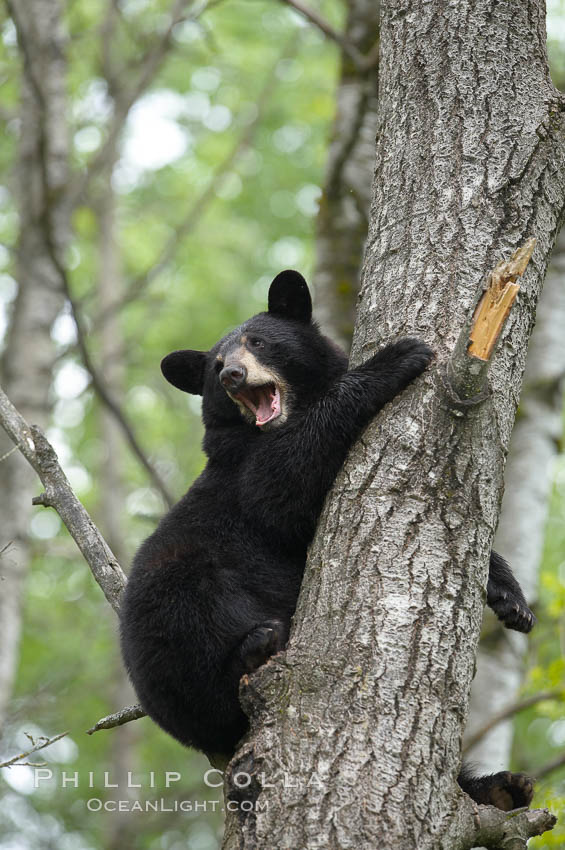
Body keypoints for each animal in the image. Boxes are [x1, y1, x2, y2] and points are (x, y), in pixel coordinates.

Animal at [121, 272, 536, 808]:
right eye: (214, 366)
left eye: (258, 341)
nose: (232, 374)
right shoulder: (243, 469)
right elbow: (280, 490)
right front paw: (398, 356)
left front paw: (511, 599)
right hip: (173, 605)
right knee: (197, 632)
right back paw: (255, 647)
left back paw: (501, 789)